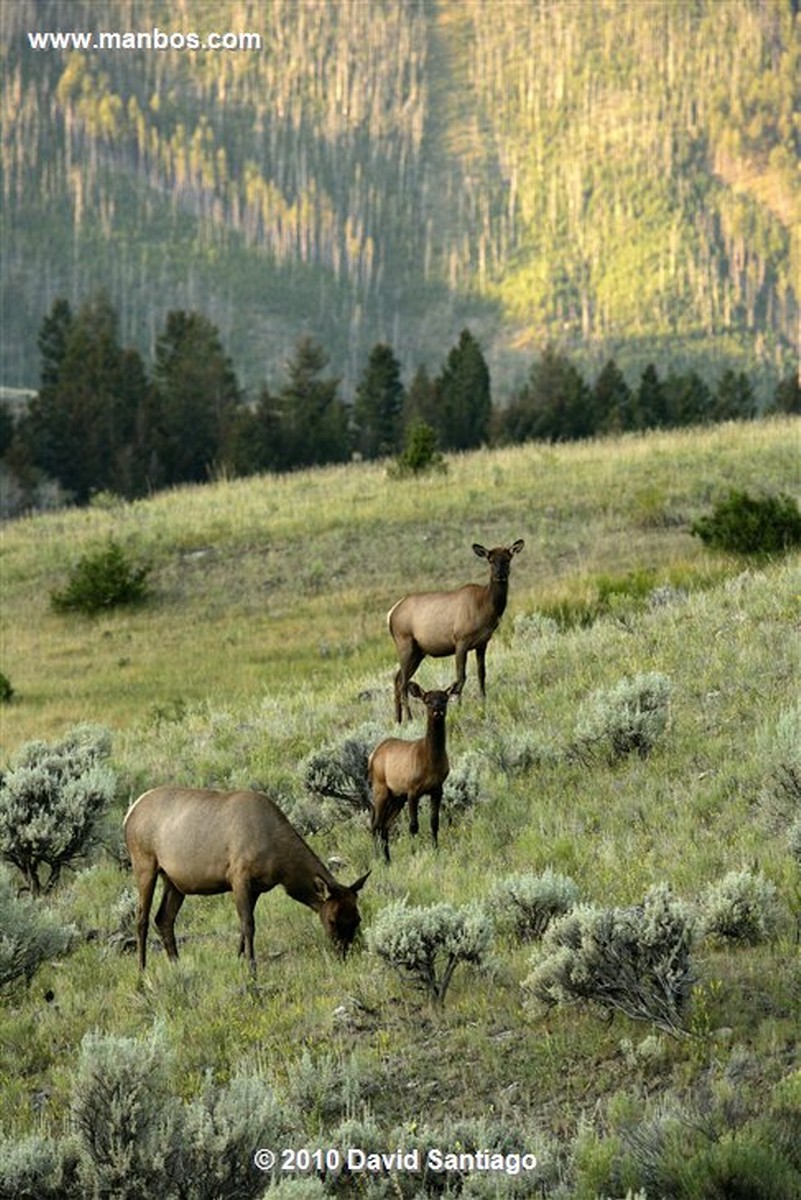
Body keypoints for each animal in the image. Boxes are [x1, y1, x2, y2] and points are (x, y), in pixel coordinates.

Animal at [122, 787, 369, 974]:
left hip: (174, 881)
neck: (280, 863)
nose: (344, 954)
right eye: (332, 920)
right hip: (144, 864)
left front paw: (239, 959)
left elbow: (243, 926)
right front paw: (252, 969)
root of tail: (128, 814)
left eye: (357, 919)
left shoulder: (257, 887)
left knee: (163, 918)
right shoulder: (239, 877)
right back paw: (142, 972)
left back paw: (176, 966)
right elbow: (248, 925)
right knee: (142, 919)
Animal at [366, 676, 455, 864]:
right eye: (427, 701)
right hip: (381, 788)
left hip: (397, 797)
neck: (431, 762)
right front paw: (414, 852)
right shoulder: (413, 789)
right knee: (375, 824)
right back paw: (379, 860)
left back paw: (388, 860)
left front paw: (436, 850)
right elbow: (413, 826)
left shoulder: (437, 788)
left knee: (384, 826)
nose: (437, 711)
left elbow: (434, 822)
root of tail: (372, 755)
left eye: (444, 699)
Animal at [388, 542, 525, 720]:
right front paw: (459, 708)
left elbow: (481, 673)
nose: (499, 576)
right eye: (490, 560)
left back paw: (398, 720)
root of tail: (391, 614)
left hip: (418, 652)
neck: (486, 608)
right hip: (405, 642)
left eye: (508, 559)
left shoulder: (482, 643)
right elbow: (461, 677)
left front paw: (483, 701)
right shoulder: (461, 640)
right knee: (403, 682)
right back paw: (410, 719)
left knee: (397, 678)